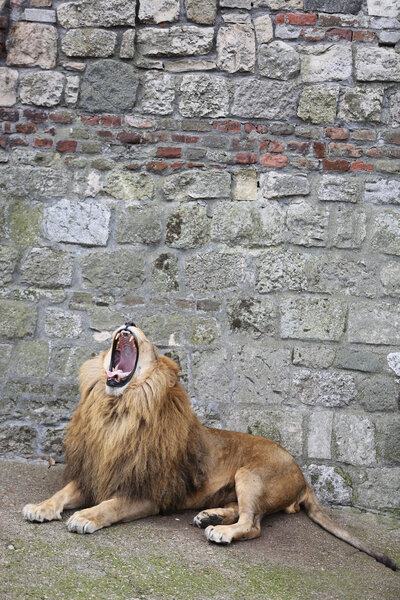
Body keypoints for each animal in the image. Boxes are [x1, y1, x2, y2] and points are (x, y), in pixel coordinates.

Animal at [23, 324, 396, 572]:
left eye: (146, 338)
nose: (127, 322)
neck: (117, 410)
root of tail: (304, 476)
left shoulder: (148, 492)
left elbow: (110, 506)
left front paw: (85, 516)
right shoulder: (94, 472)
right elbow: (63, 493)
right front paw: (41, 507)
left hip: (252, 473)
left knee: (253, 523)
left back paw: (220, 530)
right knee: (245, 511)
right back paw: (209, 515)